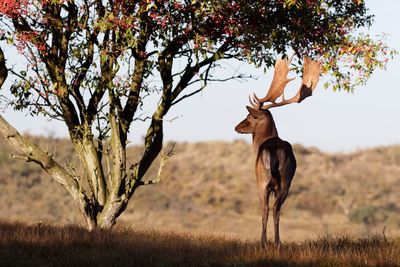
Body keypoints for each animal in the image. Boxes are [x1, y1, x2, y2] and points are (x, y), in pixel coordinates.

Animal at [234, 55, 322, 248]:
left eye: (250, 116)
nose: (236, 127)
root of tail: (273, 150)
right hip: (286, 180)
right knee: (277, 210)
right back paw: (277, 242)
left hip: (263, 179)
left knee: (266, 209)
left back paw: (264, 242)